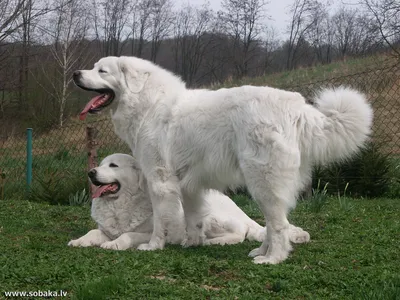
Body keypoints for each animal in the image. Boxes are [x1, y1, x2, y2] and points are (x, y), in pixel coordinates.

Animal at [68, 154, 310, 250]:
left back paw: (211, 242)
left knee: (239, 234)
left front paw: (114, 244)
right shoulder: (105, 229)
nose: (91, 172)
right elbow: (93, 232)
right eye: (100, 164)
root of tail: (242, 212)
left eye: (113, 166)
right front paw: (79, 241)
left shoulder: (149, 233)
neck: (121, 204)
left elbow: (128, 235)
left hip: (210, 217)